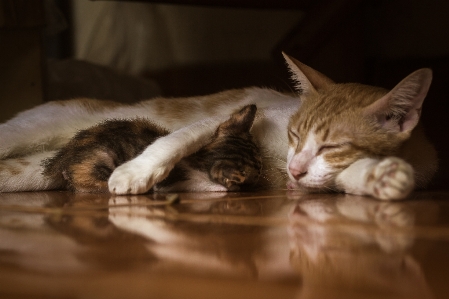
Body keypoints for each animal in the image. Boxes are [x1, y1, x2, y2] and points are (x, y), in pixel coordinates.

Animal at [43, 105, 260, 195]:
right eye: (256, 172)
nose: (260, 176)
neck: (200, 160)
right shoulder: (173, 181)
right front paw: (229, 188)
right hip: (99, 161)